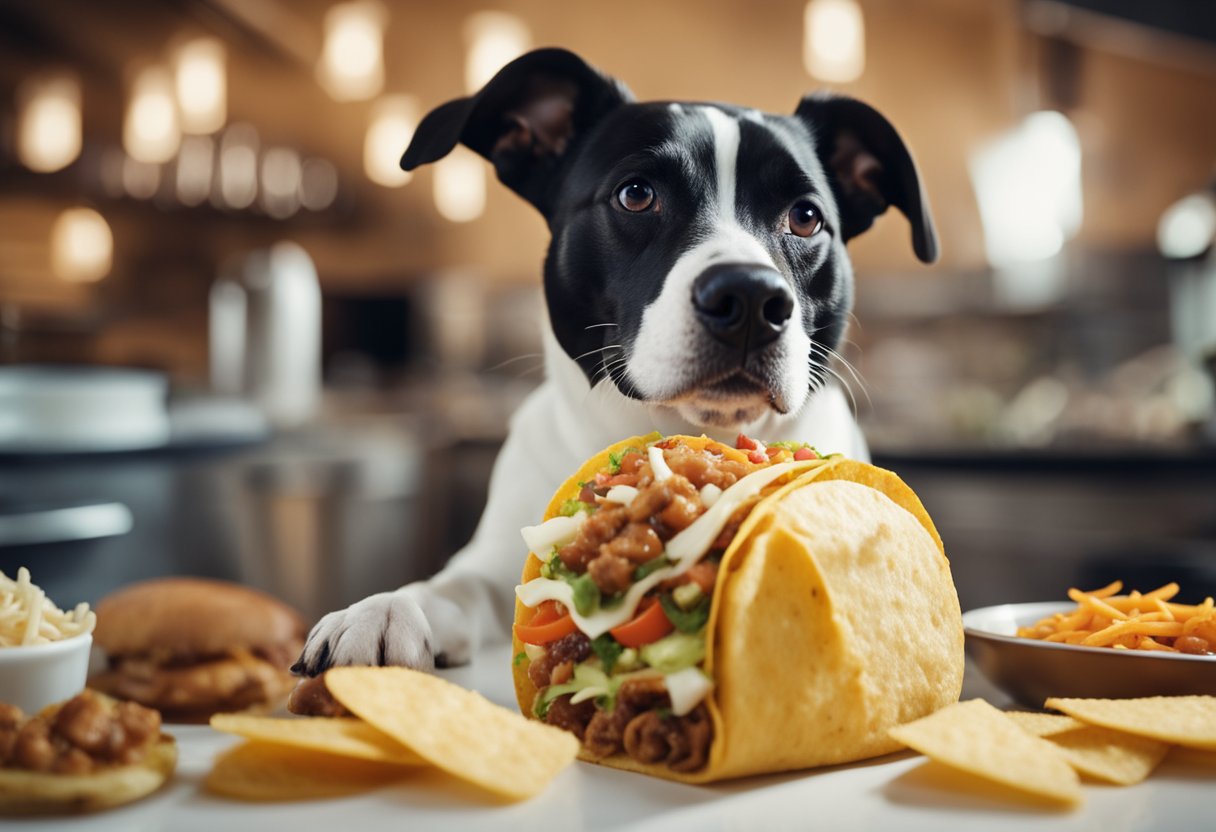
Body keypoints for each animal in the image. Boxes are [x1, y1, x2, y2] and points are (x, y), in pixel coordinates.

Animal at [291, 47, 929, 676]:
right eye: (636, 194)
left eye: (806, 217)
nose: (750, 297)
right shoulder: (497, 565)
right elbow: (454, 584)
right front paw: (385, 607)